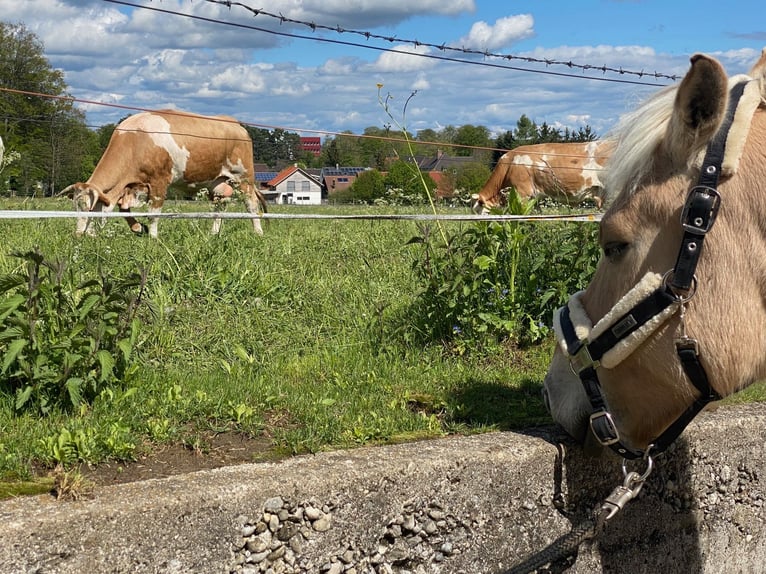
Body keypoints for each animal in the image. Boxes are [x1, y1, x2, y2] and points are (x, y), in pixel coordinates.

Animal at [63, 110, 268, 238]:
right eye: (75, 207)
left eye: (90, 209)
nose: (79, 235)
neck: (135, 140)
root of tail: (236, 125)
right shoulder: (131, 186)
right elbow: (123, 209)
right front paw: (138, 228)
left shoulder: (159, 181)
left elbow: (154, 213)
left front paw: (153, 239)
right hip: (216, 183)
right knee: (219, 207)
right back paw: (213, 233)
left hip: (244, 177)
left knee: (251, 205)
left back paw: (258, 233)